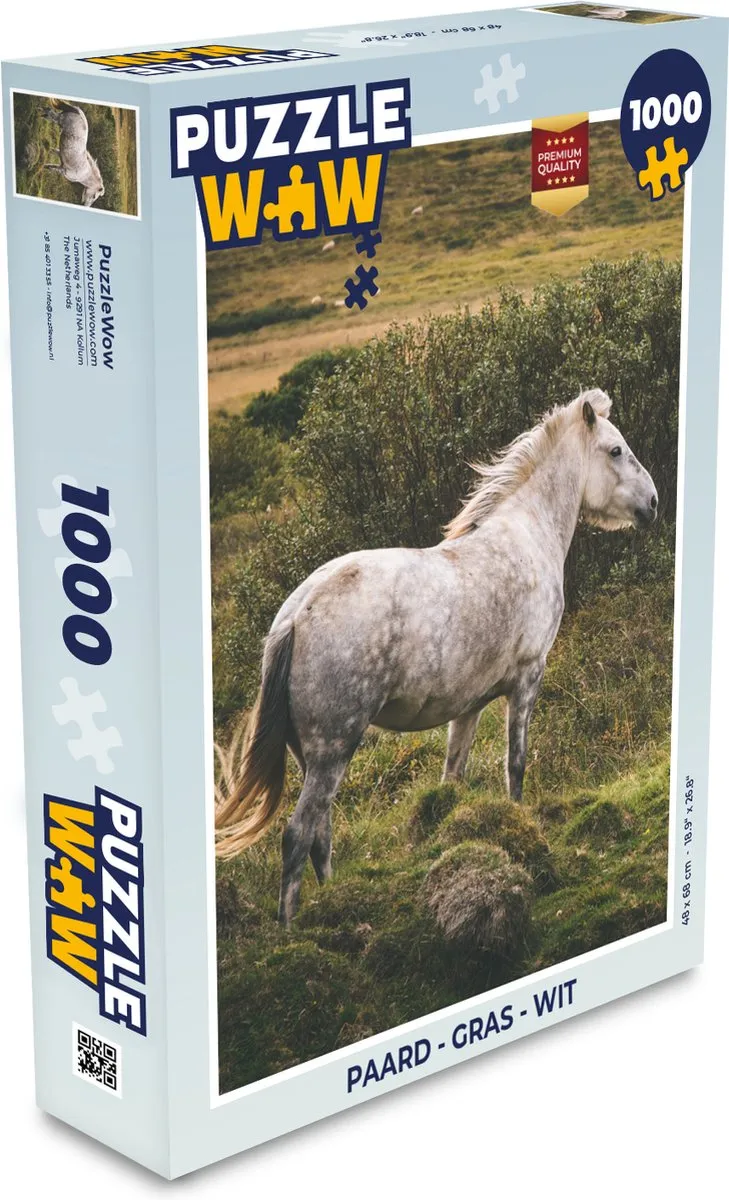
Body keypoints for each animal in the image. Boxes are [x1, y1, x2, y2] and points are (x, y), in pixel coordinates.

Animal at [215, 389, 658, 925]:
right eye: (615, 450)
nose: (654, 503)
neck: (527, 536)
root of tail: (295, 616)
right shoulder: (527, 681)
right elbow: (516, 765)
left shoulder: (468, 707)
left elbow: (452, 780)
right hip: (332, 750)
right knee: (299, 835)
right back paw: (292, 928)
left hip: (317, 757)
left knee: (320, 834)